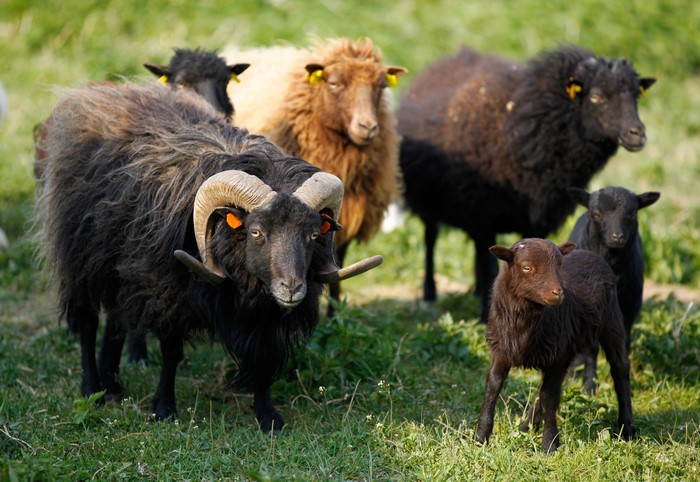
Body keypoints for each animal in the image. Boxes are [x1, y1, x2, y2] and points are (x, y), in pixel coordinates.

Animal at [35, 82, 382, 433]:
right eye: (256, 232)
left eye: (313, 234)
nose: (292, 288)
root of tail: (102, 91)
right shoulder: (168, 291)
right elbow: (171, 352)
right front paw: (164, 408)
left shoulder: (266, 317)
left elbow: (265, 361)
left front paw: (268, 418)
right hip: (80, 260)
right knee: (88, 322)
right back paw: (92, 388)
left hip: (122, 269)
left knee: (117, 321)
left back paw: (113, 388)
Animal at [397, 45, 655, 323]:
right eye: (597, 96)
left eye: (636, 96)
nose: (638, 134)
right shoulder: (484, 213)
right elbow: (492, 267)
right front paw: (487, 316)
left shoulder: (533, 217)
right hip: (429, 200)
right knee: (431, 239)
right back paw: (429, 294)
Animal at [475, 238, 635, 453]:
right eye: (527, 267)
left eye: (559, 266)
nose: (558, 294)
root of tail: (590, 253)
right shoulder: (502, 351)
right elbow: (493, 387)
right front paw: (480, 438)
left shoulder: (558, 357)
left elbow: (549, 398)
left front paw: (549, 445)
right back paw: (526, 428)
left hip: (612, 323)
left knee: (620, 370)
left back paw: (627, 428)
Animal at [568, 186, 660, 393]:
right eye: (597, 213)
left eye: (632, 213)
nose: (617, 237)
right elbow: (590, 349)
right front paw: (589, 387)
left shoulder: (629, 307)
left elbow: (623, 343)